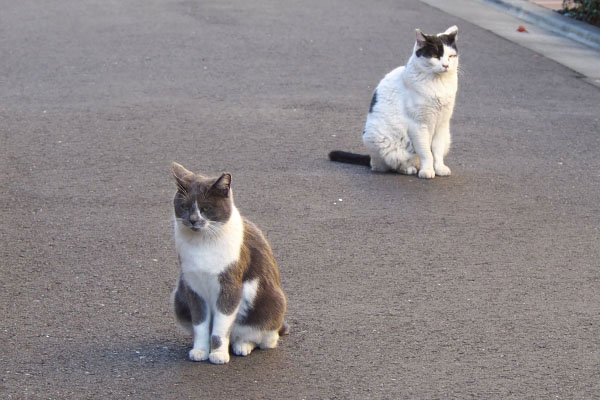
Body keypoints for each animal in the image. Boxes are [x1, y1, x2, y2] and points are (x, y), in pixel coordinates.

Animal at [170, 162, 290, 366]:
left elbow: (220, 328)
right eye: (184, 206)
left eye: (206, 208)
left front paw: (218, 354)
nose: (193, 220)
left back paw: (242, 346)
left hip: (272, 304)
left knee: (264, 338)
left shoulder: (230, 286)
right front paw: (200, 350)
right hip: (179, 297)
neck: (203, 243)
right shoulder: (193, 288)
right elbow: (201, 325)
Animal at [328, 25, 460, 179]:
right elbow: (426, 152)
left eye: (451, 56)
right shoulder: (418, 125)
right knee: (387, 165)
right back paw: (408, 169)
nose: (446, 65)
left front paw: (439, 168)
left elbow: (436, 150)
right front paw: (427, 170)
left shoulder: (442, 124)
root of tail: (371, 159)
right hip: (379, 139)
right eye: (435, 56)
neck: (439, 84)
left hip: (447, 138)